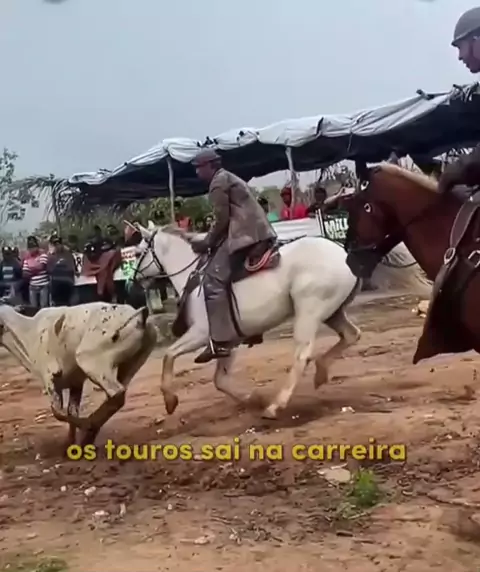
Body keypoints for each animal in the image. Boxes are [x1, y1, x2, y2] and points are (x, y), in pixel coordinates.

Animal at [0, 302, 158, 450]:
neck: (28, 331)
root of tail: (138, 317)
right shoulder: (75, 384)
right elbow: (71, 412)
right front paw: (70, 444)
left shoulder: (50, 378)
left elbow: (57, 412)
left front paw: (83, 429)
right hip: (131, 364)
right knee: (117, 396)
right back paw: (90, 433)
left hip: (89, 361)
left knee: (116, 394)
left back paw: (89, 428)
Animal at [133, 221, 430, 419]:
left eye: (136, 253)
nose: (134, 282)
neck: (196, 277)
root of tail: (343, 252)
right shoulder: (227, 340)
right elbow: (220, 380)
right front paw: (251, 398)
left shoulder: (201, 333)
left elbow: (169, 355)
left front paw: (170, 399)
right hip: (332, 311)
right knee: (351, 335)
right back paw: (321, 372)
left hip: (309, 311)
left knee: (302, 354)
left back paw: (277, 405)